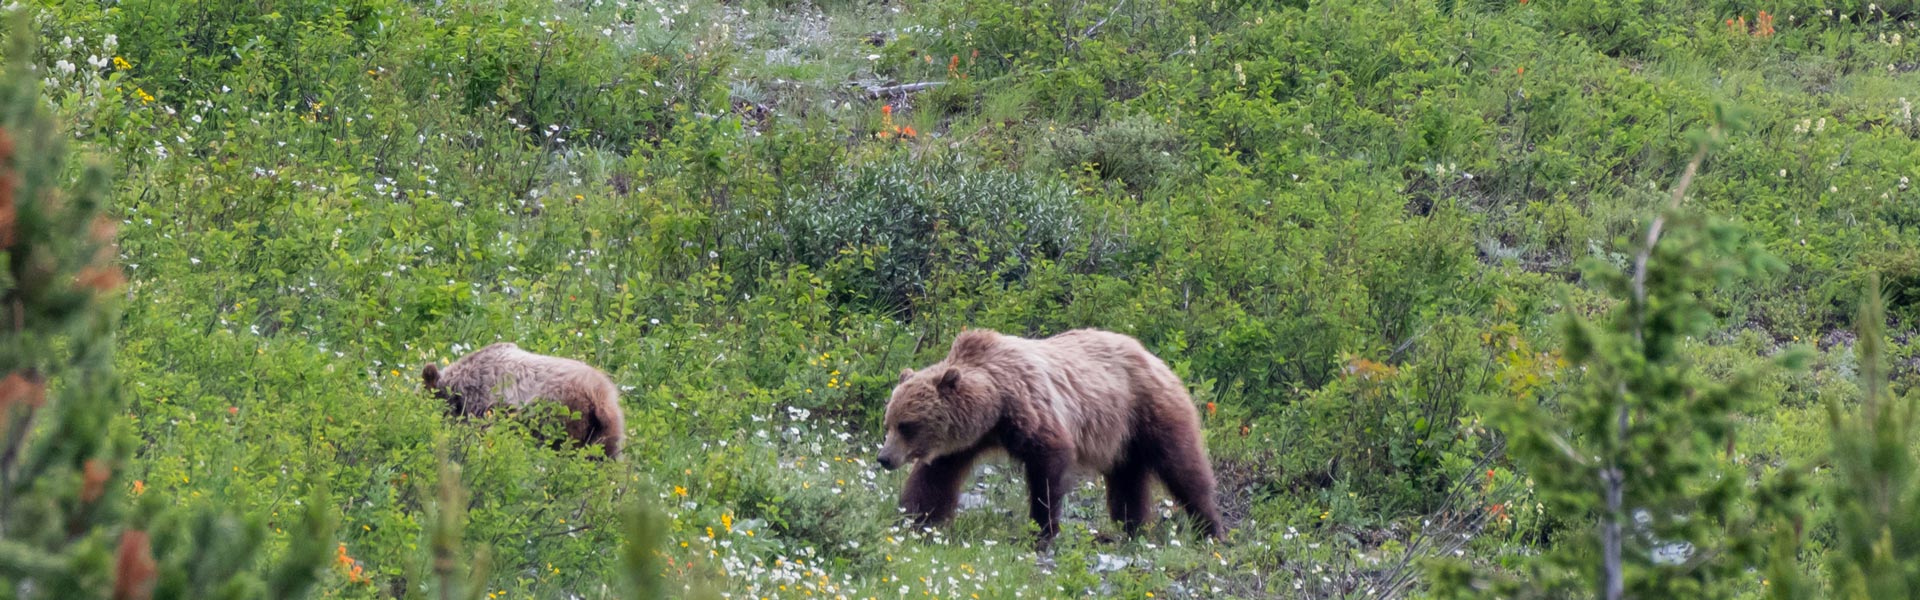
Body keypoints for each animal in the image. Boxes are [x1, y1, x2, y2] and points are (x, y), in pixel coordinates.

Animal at [879, 328, 1221, 550]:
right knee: (1128, 481)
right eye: (889, 423)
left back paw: (1210, 528)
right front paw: (914, 519)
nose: (884, 458)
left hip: (1147, 409)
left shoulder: (1030, 408)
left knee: (1182, 466)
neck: (994, 407)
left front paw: (1042, 532)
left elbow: (1048, 467)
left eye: (907, 425)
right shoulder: (962, 441)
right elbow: (934, 479)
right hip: (1122, 437)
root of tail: (1155, 357)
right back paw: (1133, 528)